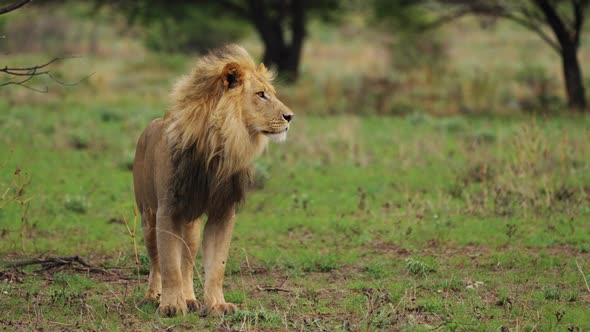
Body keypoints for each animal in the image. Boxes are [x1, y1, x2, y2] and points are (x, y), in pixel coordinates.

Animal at [132, 44, 294, 316]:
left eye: (271, 93)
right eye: (261, 95)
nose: (290, 117)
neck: (221, 141)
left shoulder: (223, 210)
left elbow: (216, 264)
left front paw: (217, 304)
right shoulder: (168, 209)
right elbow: (169, 264)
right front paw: (171, 305)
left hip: (191, 225)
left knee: (187, 262)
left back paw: (189, 298)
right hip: (147, 216)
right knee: (156, 261)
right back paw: (152, 296)